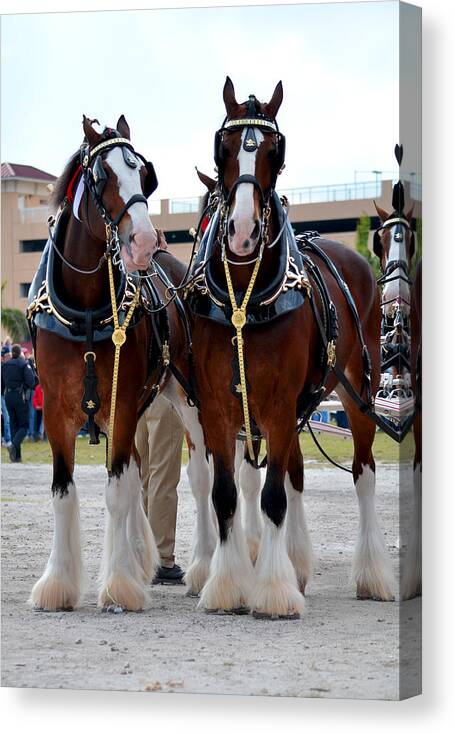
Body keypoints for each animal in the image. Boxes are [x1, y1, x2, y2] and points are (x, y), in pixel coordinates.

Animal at [27, 118, 215, 612]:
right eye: (101, 177)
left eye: (144, 175)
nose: (145, 241)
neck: (86, 309)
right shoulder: (57, 412)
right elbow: (65, 492)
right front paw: (58, 583)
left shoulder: (122, 403)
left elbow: (115, 494)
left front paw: (116, 586)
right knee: (135, 479)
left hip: (186, 398)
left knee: (201, 477)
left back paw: (205, 568)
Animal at [186, 79, 396, 620]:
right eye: (223, 148)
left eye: (273, 152)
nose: (241, 232)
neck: (244, 296)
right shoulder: (220, 407)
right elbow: (226, 495)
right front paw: (228, 585)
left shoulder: (278, 404)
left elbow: (273, 498)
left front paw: (274, 592)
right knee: (297, 473)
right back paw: (298, 565)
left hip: (358, 391)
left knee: (363, 474)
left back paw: (374, 574)